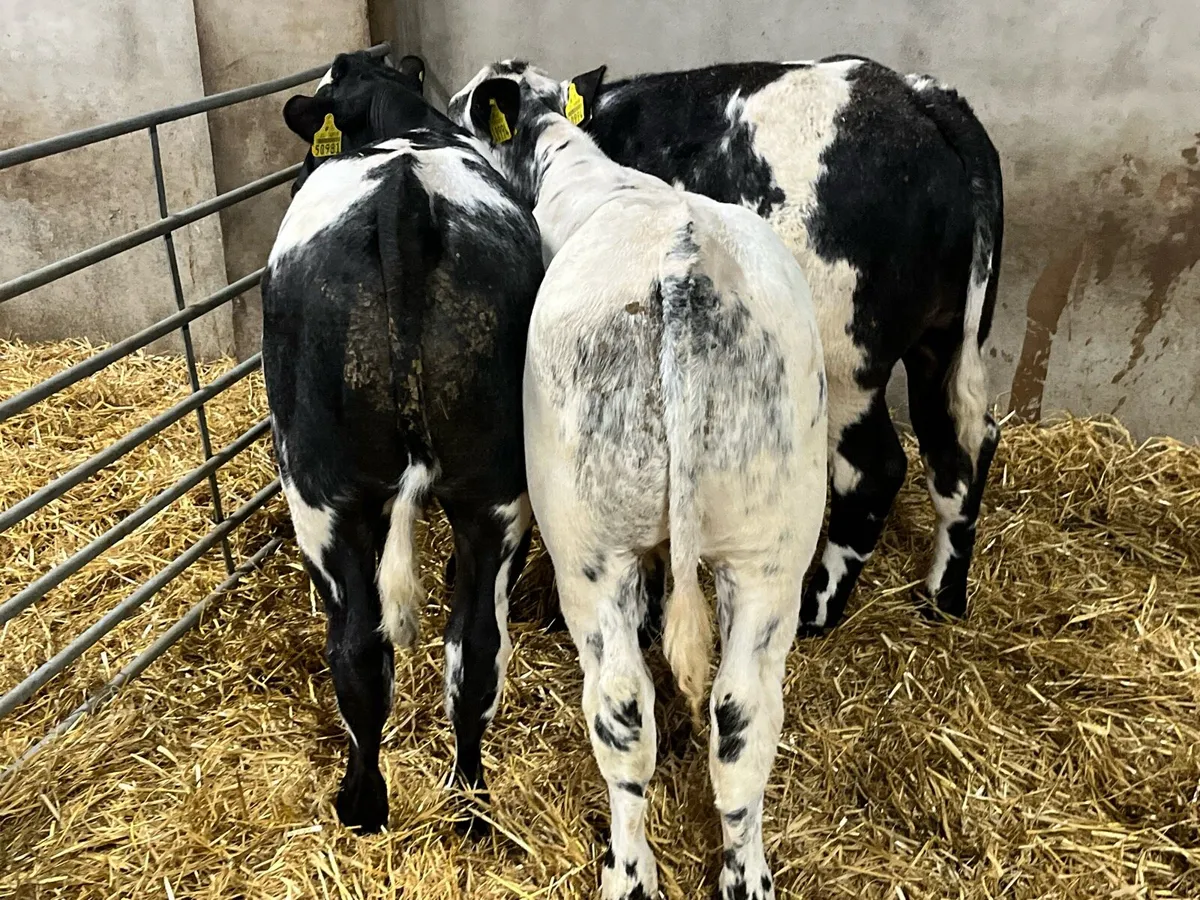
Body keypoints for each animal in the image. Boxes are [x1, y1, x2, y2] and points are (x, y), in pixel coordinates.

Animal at [263, 51, 543, 833]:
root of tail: (404, 200)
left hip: (320, 489)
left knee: (360, 649)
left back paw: (362, 805)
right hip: (497, 489)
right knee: (474, 648)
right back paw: (469, 801)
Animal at [449, 57, 1003, 637]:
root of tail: (917, 96)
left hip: (846, 366)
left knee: (876, 470)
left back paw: (818, 609)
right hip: (942, 344)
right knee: (962, 448)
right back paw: (943, 595)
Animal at [452, 65, 828, 900]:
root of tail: (684, 263)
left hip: (590, 548)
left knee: (623, 712)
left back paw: (629, 871)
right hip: (773, 545)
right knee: (744, 716)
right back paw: (745, 873)